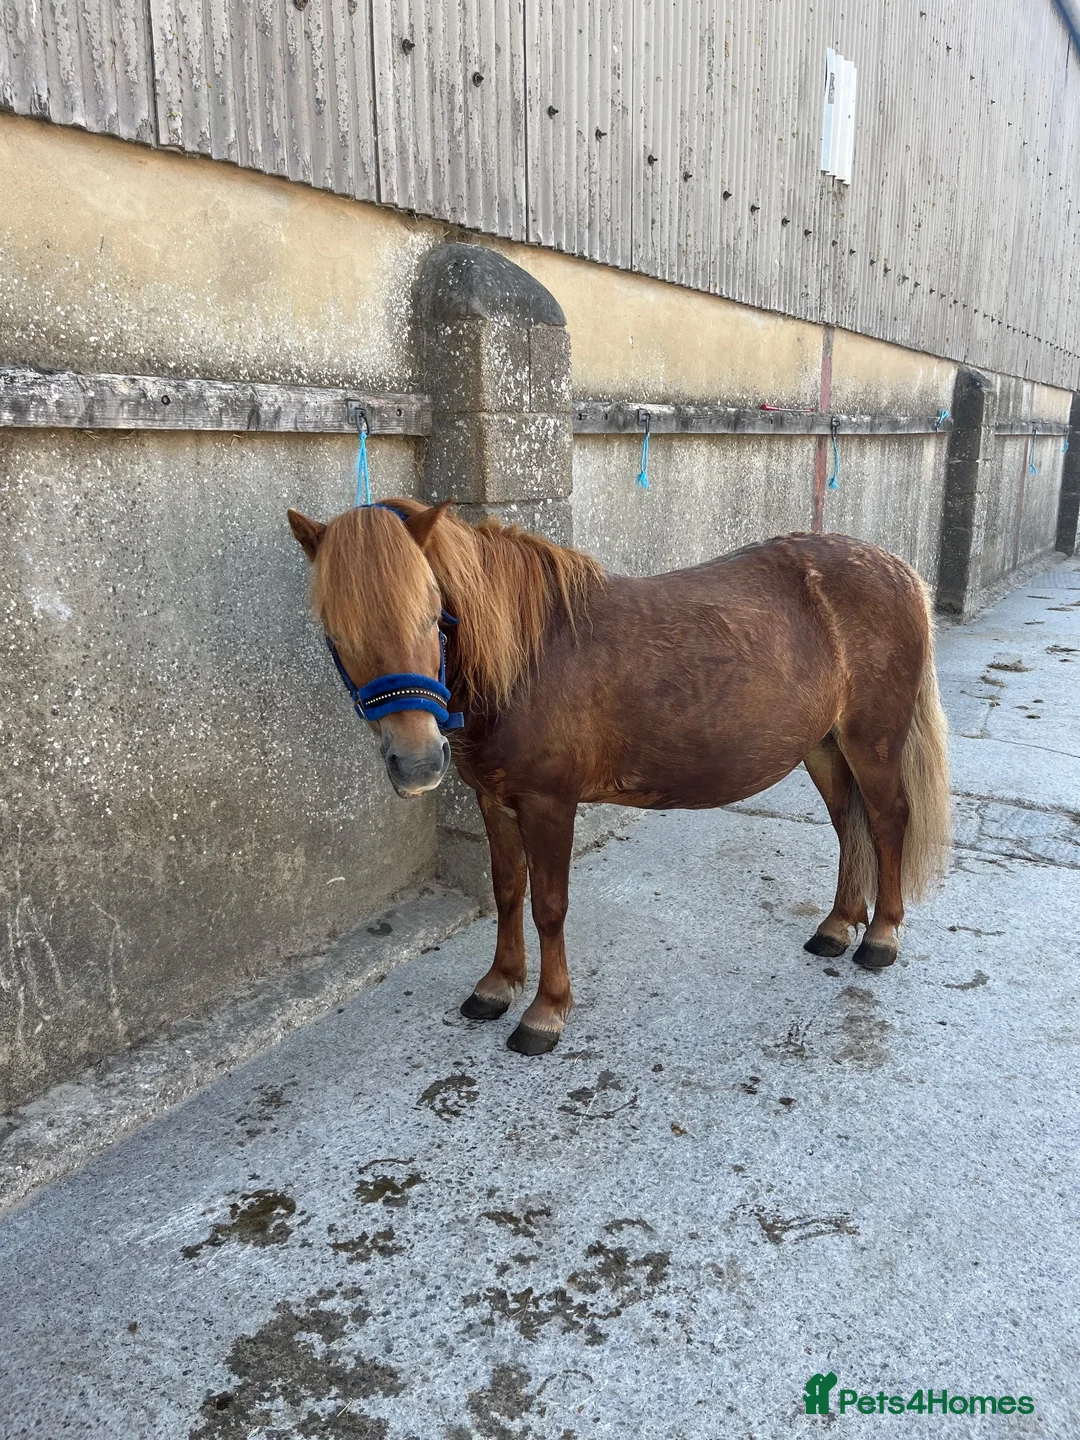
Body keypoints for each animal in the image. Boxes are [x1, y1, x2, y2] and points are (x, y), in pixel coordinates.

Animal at [287, 498, 952, 1056]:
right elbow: (507, 890)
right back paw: (837, 927)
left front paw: (545, 1012)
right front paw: (497, 985)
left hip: (872, 744)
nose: (418, 761)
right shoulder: (494, 800)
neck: (528, 659)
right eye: (337, 633)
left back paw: (880, 938)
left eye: (434, 618)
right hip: (824, 748)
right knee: (849, 827)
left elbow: (549, 904)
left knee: (888, 821)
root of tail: (897, 569)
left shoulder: (549, 804)